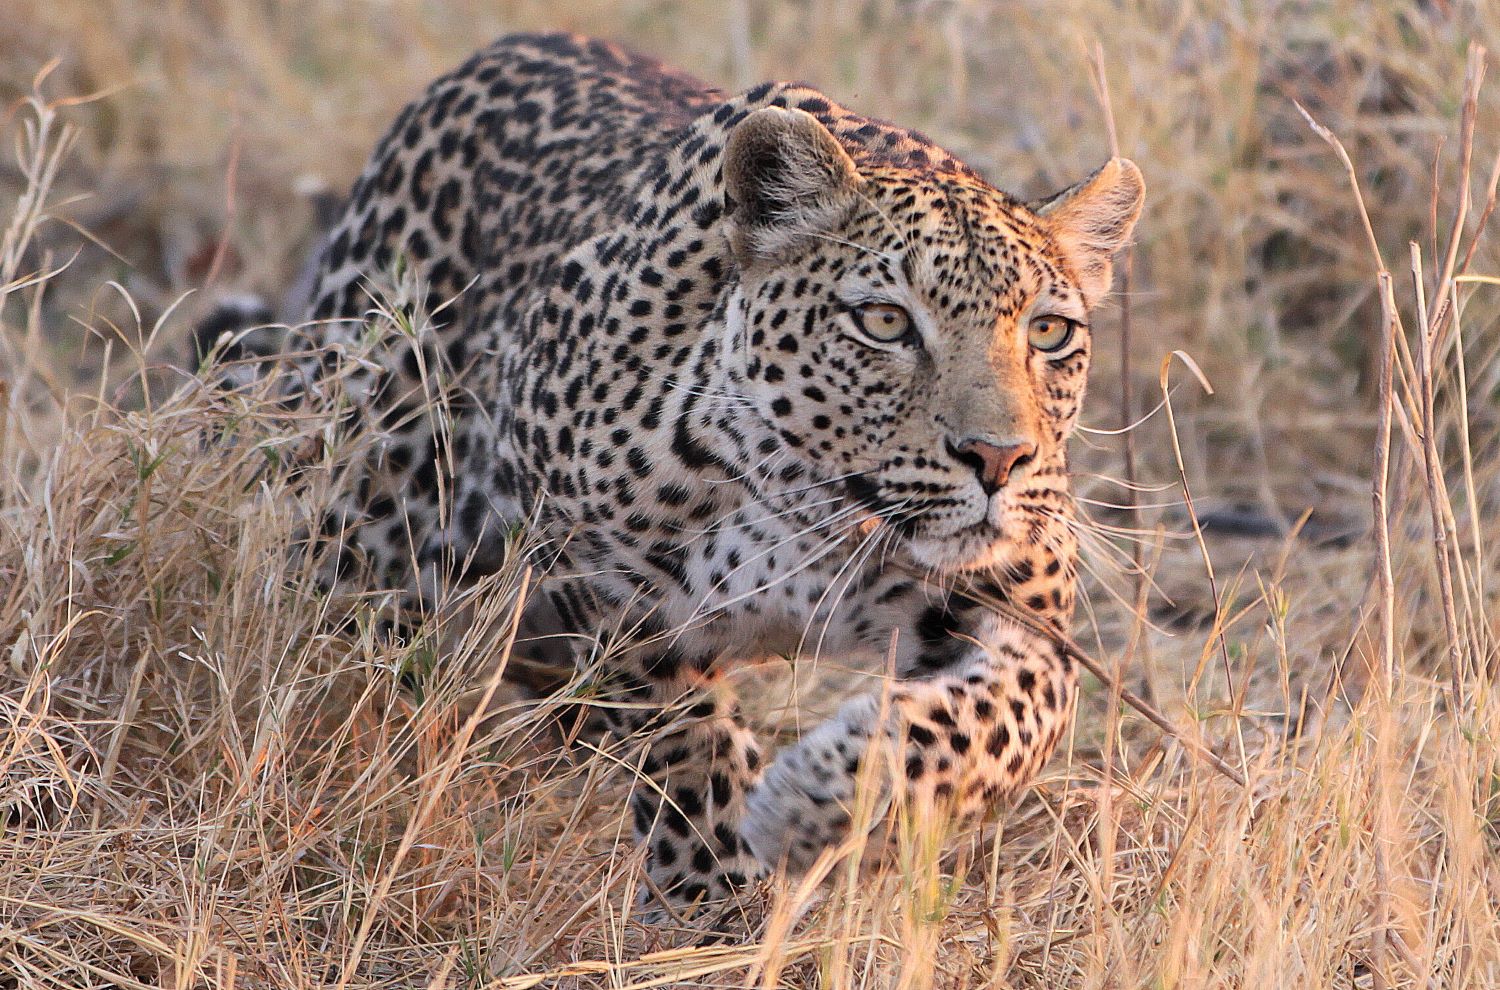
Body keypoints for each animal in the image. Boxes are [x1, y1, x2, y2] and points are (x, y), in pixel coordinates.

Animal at [206, 31, 1144, 918]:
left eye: (1050, 333)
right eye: (884, 322)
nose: (999, 459)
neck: (807, 509)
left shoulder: (1026, 622)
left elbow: (993, 720)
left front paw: (828, 804)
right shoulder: (607, 585)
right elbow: (685, 743)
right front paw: (715, 901)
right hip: (371, 510)